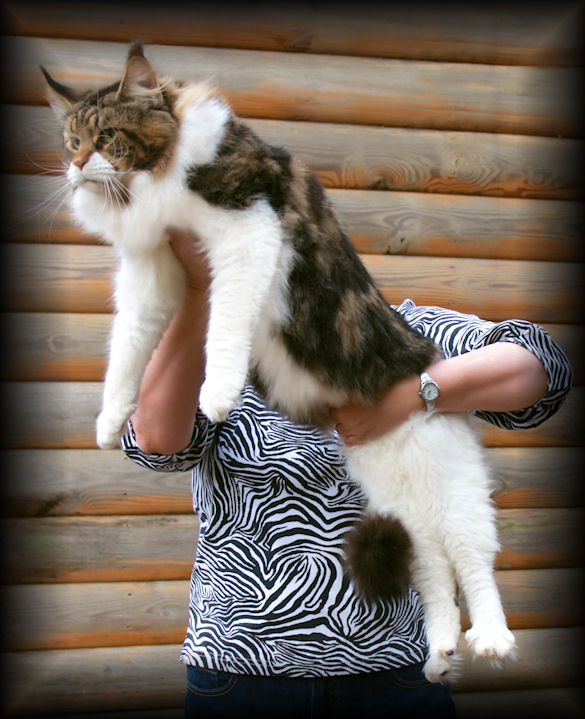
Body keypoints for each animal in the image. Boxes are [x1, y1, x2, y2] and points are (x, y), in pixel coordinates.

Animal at [42, 42, 516, 684]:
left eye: (108, 136)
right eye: (71, 140)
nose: (75, 166)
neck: (157, 180)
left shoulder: (246, 235)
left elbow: (225, 328)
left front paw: (216, 395)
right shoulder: (153, 272)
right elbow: (126, 352)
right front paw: (109, 422)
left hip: (454, 496)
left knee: (473, 565)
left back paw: (489, 640)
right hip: (404, 511)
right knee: (436, 576)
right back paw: (440, 653)